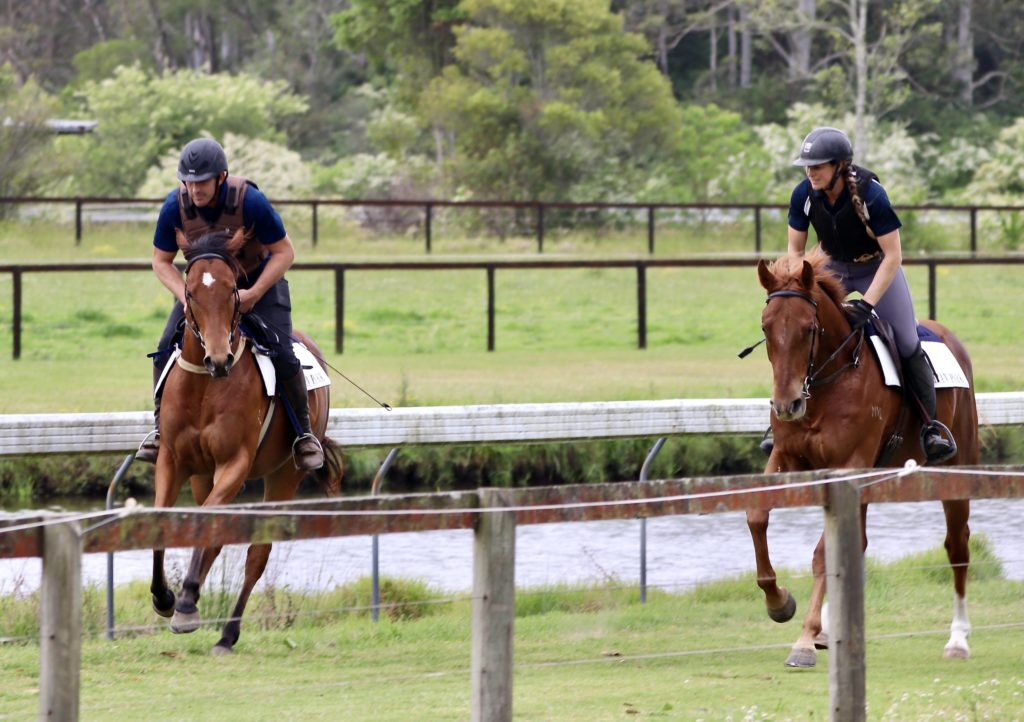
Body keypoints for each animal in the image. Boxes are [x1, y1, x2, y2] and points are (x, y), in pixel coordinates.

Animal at [149, 227, 344, 655]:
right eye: (191, 292)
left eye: (232, 291)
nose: (218, 358)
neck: (204, 387)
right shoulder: (173, 460)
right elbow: (165, 522)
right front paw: (165, 597)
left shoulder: (235, 464)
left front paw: (184, 601)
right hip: (202, 476)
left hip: (285, 475)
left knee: (258, 553)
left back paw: (226, 633)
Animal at [749, 248, 978, 668]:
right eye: (766, 327)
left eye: (809, 329)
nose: (787, 405)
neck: (826, 384)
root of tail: (949, 336)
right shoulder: (787, 456)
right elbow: (757, 516)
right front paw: (779, 602)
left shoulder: (849, 464)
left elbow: (825, 553)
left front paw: (804, 640)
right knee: (860, 541)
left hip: (957, 467)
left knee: (957, 546)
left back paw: (958, 639)